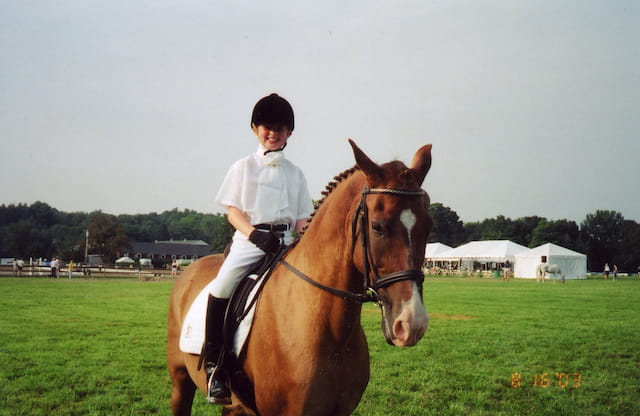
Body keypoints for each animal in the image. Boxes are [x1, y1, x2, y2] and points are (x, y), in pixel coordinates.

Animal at [167, 139, 433, 416]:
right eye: (377, 227)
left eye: (429, 226)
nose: (412, 323)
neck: (332, 332)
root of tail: (189, 270)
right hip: (180, 380)